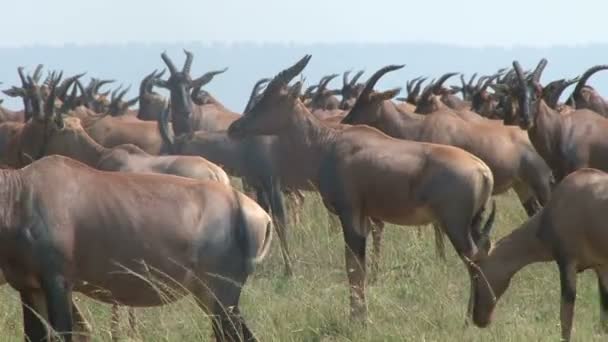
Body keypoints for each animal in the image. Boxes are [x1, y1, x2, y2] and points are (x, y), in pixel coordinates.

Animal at [227, 55, 494, 320]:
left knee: (474, 260)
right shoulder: (364, 216)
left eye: (273, 98)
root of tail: (483, 169)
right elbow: (359, 267)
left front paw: (358, 318)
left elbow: (352, 267)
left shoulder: (349, 214)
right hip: (473, 224)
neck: (329, 143)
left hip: (456, 226)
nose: (234, 128)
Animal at [472, 168, 608, 342]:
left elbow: (566, 317)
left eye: (475, 274)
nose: (478, 319)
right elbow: (604, 317)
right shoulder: (601, 267)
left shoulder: (567, 263)